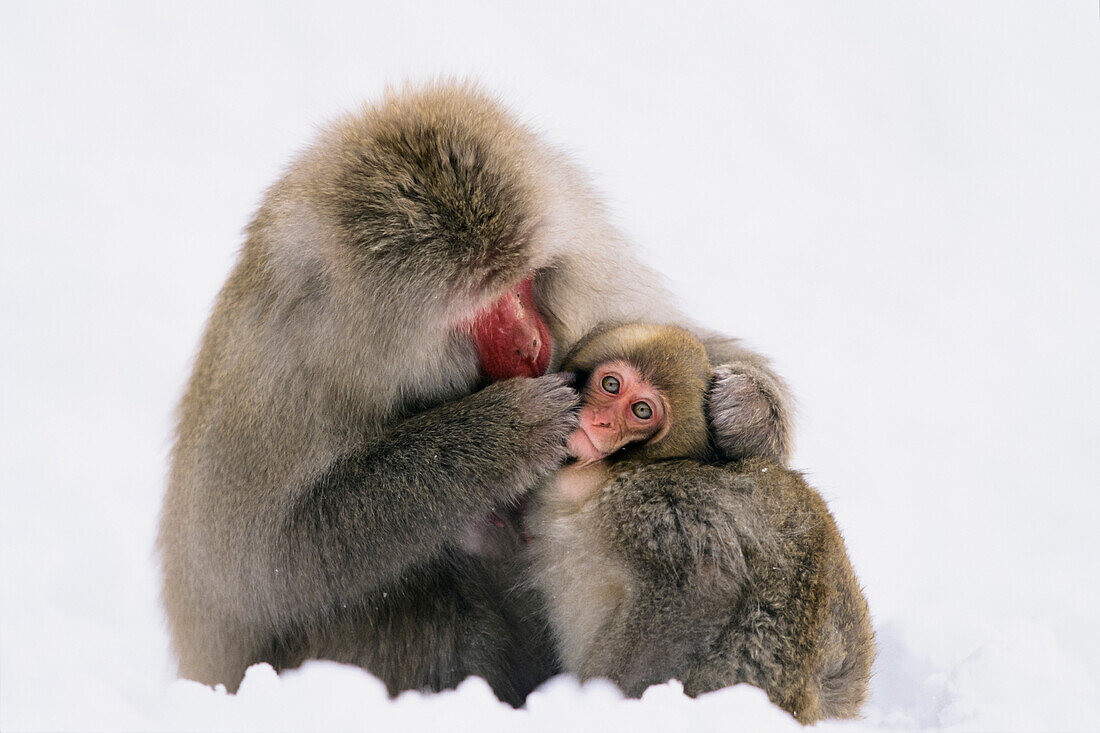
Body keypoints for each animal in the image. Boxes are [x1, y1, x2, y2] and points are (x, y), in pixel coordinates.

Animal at [155, 82, 792, 704]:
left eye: (525, 280)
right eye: (479, 309)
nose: (533, 344)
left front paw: (747, 410)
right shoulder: (277, 377)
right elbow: (263, 567)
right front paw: (500, 436)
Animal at [528, 323, 871, 717]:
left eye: (641, 410)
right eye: (611, 384)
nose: (602, 422)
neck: (613, 473)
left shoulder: (656, 505)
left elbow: (704, 585)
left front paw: (601, 698)